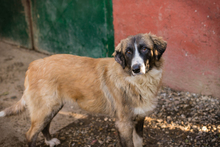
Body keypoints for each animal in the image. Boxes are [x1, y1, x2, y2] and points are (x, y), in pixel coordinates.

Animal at [0, 33, 167, 147]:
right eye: (128, 52)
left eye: (145, 49)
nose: (136, 68)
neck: (138, 82)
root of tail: (33, 65)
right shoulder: (123, 124)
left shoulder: (140, 118)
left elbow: (138, 141)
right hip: (45, 108)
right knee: (30, 134)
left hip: (52, 107)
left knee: (44, 126)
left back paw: (49, 140)